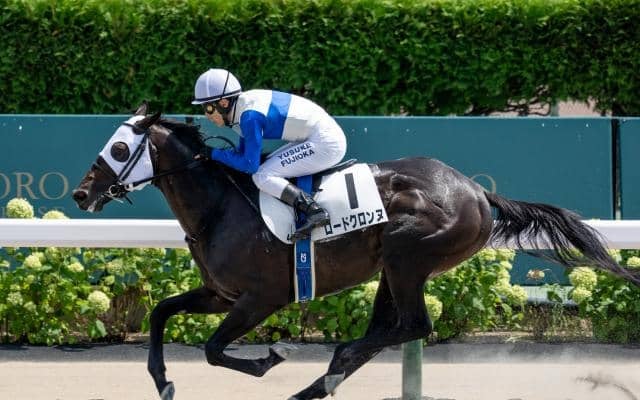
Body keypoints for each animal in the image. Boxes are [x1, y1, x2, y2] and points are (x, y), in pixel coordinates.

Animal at [72, 103, 640, 400]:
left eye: (119, 148)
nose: (80, 193)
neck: (220, 207)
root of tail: (478, 193)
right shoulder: (221, 294)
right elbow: (161, 313)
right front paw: (162, 379)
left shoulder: (262, 298)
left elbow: (213, 349)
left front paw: (271, 358)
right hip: (394, 267)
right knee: (390, 328)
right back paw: (326, 377)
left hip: (408, 255)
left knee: (410, 326)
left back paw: (328, 369)